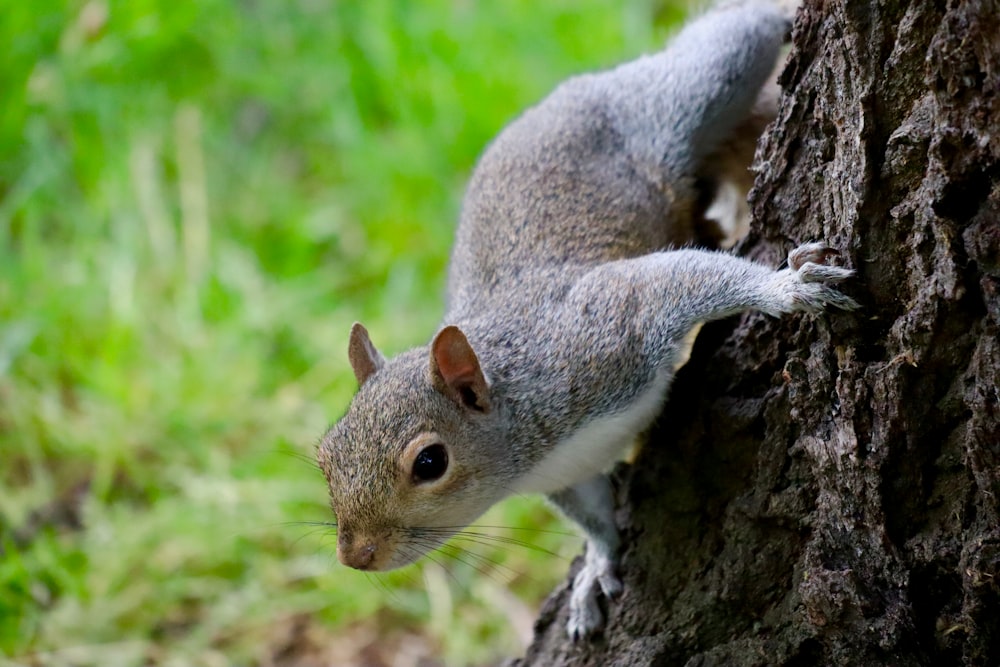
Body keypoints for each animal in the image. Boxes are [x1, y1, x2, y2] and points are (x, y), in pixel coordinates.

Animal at [316, 2, 856, 644]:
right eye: (325, 455)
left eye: (430, 463)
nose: (355, 555)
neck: (528, 437)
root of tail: (573, 91)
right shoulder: (567, 476)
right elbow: (596, 515)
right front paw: (598, 564)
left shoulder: (602, 333)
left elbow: (678, 280)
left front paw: (784, 288)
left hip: (680, 103)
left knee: (726, 45)